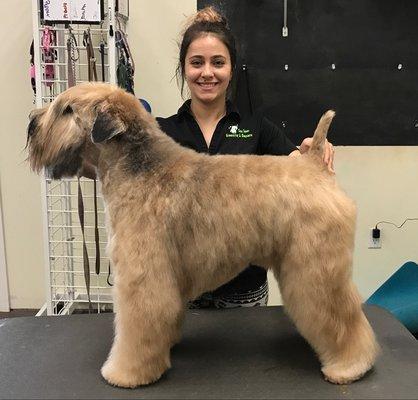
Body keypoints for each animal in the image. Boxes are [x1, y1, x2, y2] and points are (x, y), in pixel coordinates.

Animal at [27, 82, 378, 388]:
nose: (31, 123)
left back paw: (349, 365)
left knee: (343, 318)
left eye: (66, 109)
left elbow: (136, 328)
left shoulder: (141, 279)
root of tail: (315, 164)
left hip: (316, 271)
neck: (142, 171)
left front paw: (126, 372)